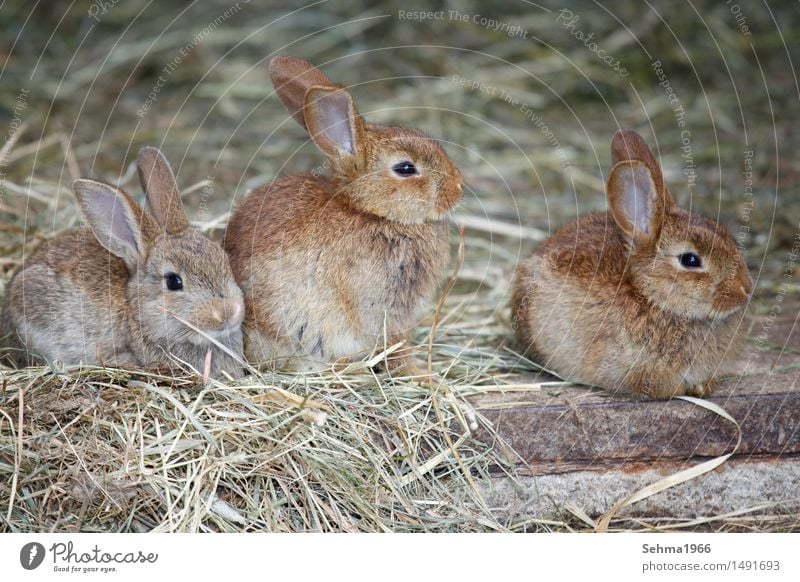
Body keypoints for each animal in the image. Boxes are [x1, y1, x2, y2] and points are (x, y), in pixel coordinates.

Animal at [223, 56, 462, 374]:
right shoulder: (382, 306)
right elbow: (396, 344)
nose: (459, 188)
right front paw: (421, 373)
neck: (369, 211)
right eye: (405, 168)